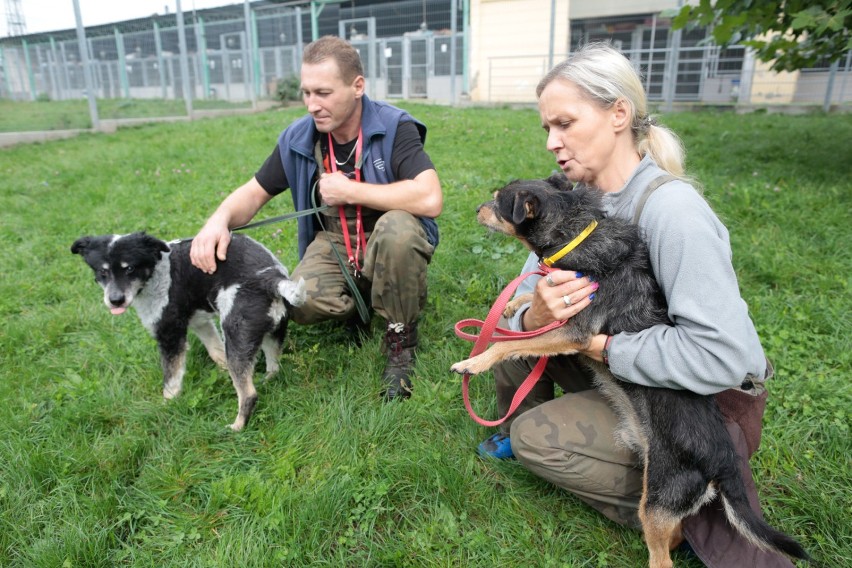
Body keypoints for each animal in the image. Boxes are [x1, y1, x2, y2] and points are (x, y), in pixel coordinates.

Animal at [72, 231, 306, 430]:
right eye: (102, 271)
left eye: (129, 268)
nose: (115, 301)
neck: (156, 270)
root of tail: (272, 279)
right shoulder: (200, 324)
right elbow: (216, 353)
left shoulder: (170, 335)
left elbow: (171, 380)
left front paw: (166, 406)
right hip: (271, 333)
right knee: (273, 367)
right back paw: (266, 380)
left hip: (235, 334)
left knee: (248, 394)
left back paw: (237, 427)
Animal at [450, 175, 808, 568]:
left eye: (498, 203)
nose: (475, 209)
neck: (574, 232)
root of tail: (724, 462)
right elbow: (533, 298)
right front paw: (515, 302)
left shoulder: (576, 332)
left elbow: (506, 345)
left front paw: (474, 361)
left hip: (659, 500)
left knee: (662, 558)